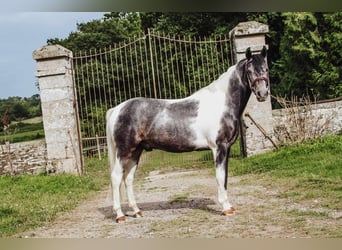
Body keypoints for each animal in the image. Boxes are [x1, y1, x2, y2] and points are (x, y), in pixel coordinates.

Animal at [106, 46, 270, 222]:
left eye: (266, 69)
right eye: (250, 70)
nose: (262, 93)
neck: (222, 104)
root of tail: (117, 109)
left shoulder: (227, 148)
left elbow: (225, 177)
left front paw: (229, 206)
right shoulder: (219, 147)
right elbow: (220, 177)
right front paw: (226, 208)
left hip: (136, 151)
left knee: (128, 178)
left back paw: (136, 211)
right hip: (124, 151)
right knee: (116, 177)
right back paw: (120, 215)